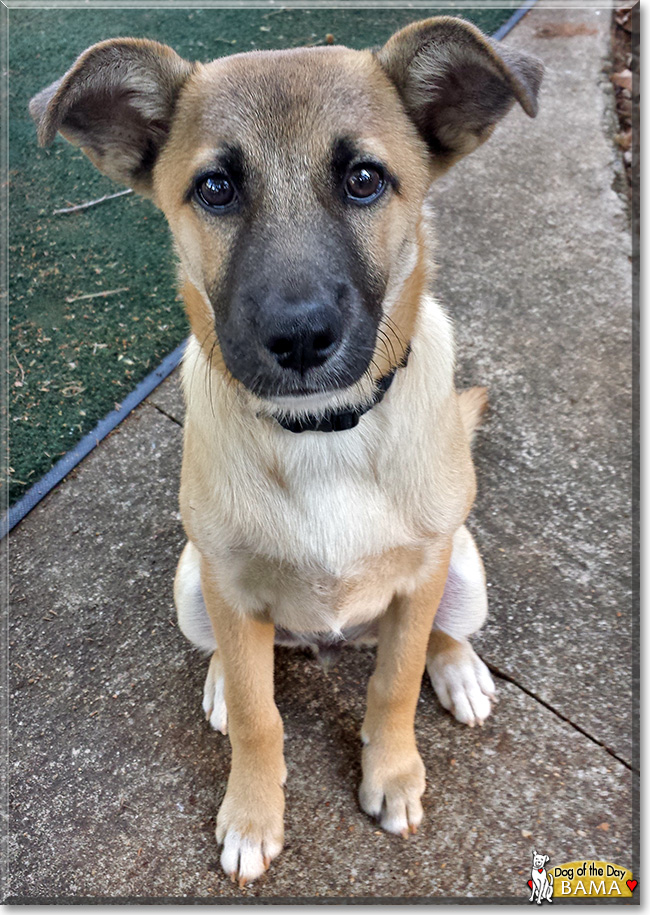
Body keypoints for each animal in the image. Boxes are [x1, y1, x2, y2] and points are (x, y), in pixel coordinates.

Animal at [31, 16, 540, 888]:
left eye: (365, 179)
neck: (323, 433)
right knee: (234, 657)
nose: (299, 337)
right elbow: (258, 713)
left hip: (463, 564)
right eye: (215, 188)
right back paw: (218, 683)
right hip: (191, 579)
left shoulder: (423, 569)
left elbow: (394, 682)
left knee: (434, 633)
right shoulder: (229, 581)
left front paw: (392, 773)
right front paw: (252, 813)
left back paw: (459, 666)